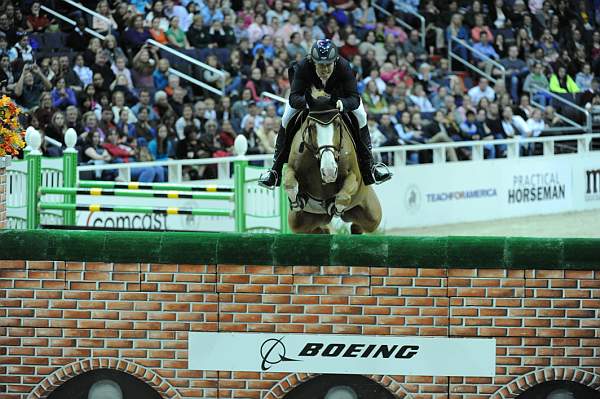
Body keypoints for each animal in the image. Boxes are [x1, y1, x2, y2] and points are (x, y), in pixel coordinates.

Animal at [280, 88, 380, 234]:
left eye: (338, 124)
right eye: (311, 126)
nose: (329, 171)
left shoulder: (354, 176)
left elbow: (343, 197)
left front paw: (333, 206)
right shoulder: (291, 168)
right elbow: (289, 183)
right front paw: (297, 201)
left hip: (372, 215)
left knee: (362, 224)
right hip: (299, 222)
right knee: (316, 229)